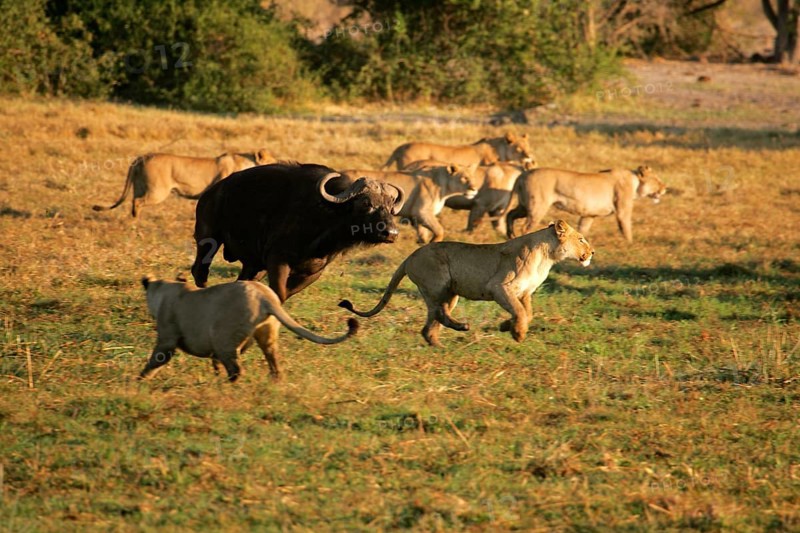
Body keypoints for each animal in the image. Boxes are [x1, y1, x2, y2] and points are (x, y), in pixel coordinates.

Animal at [191, 163, 404, 302]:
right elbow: (278, 293)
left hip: (255, 266)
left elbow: (284, 295)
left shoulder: (312, 273)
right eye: (366, 203)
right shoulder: (277, 261)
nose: (391, 233)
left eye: (390, 205)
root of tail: (213, 191)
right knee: (200, 269)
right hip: (207, 235)